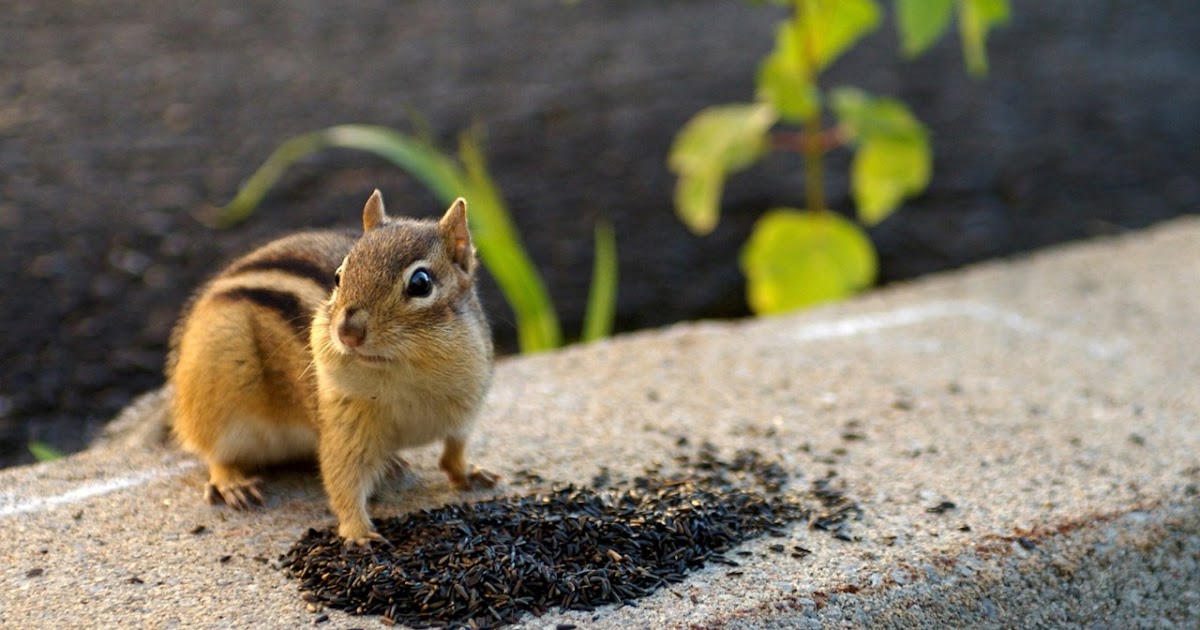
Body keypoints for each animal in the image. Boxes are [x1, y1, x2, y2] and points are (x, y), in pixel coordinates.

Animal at [167, 190, 497, 546]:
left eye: (421, 283)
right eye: (339, 276)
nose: (348, 331)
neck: (406, 374)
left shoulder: (464, 411)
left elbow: (454, 450)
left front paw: (469, 473)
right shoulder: (342, 422)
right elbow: (343, 479)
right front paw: (358, 532)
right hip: (217, 390)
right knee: (214, 451)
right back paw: (232, 482)